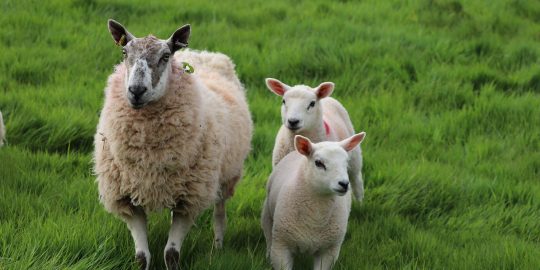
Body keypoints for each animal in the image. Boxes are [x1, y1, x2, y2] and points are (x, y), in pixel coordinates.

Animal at [93, 19, 253, 270]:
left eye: (165, 56)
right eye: (124, 52)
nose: (136, 91)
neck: (149, 157)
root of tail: (202, 53)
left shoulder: (189, 199)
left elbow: (171, 254)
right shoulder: (127, 199)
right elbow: (142, 256)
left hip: (226, 175)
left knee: (219, 213)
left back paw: (217, 247)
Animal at [262, 133, 368, 270]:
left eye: (346, 162)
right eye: (319, 163)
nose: (344, 184)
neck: (316, 218)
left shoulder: (329, 251)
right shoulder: (281, 246)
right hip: (267, 217)